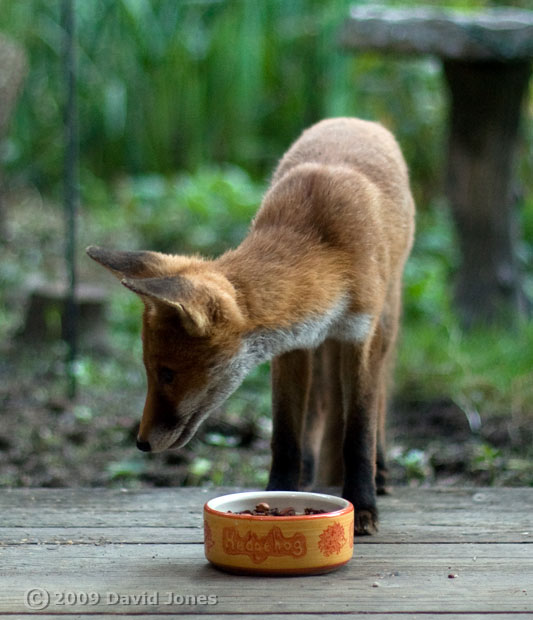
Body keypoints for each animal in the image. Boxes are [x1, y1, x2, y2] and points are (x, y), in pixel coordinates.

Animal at [87, 118, 414, 536]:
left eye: (167, 374)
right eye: (151, 371)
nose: (141, 443)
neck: (325, 249)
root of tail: (357, 121)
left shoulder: (360, 337)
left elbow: (358, 432)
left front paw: (364, 506)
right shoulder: (294, 345)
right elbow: (285, 436)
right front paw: (280, 492)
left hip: (386, 319)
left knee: (380, 401)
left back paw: (381, 470)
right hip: (317, 352)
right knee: (315, 413)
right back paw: (310, 472)